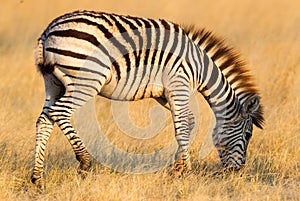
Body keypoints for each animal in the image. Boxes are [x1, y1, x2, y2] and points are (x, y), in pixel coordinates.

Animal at [31, 10, 264, 188]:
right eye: (248, 134)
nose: (238, 172)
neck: (199, 66)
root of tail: (48, 31)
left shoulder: (165, 95)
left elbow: (183, 124)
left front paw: (177, 168)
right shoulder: (179, 84)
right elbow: (186, 123)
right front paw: (185, 172)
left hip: (53, 83)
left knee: (44, 120)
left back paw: (38, 178)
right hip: (86, 80)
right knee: (60, 112)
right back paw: (85, 161)